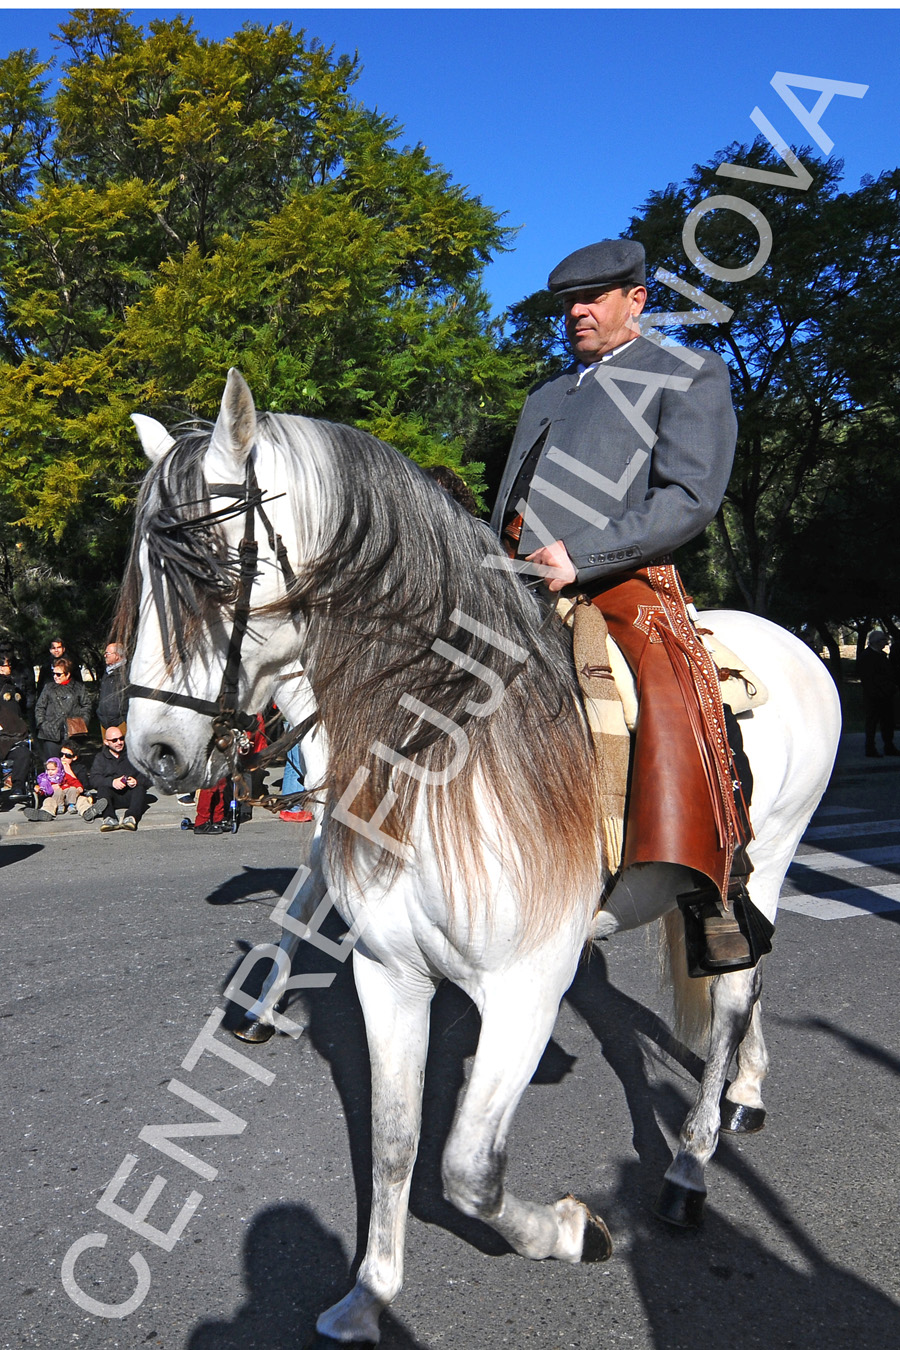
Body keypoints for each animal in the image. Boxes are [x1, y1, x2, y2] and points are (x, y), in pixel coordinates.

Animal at [121, 364, 847, 1344]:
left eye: (212, 565)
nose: (151, 751)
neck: (441, 744)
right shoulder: (389, 974)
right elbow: (396, 1142)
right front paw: (369, 1293)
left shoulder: (525, 986)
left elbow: (468, 1168)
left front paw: (575, 1232)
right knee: (748, 978)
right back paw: (745, 1094)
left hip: (768, 858)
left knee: (734, 990)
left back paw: (690, 1166)